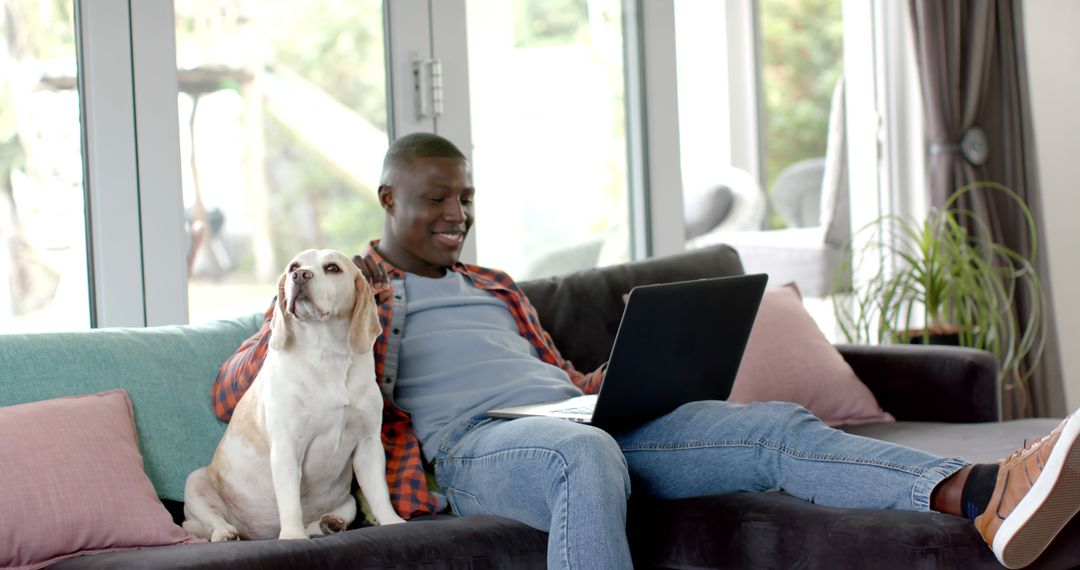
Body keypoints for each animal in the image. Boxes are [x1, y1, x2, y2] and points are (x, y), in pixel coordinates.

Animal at [183, 248, 406, 539]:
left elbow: (380, 493)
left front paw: (391, 521)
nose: (300, 275)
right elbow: (290, 501)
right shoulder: (287, 446)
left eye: (332, 268)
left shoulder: (368, 444)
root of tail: (254, 534)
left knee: (327, 520)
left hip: (349, 501)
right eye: (293, 267)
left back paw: (330, 523)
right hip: (196, 483)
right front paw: (292, 535)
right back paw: (226, 532)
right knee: (214, 521)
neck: (326, 355)